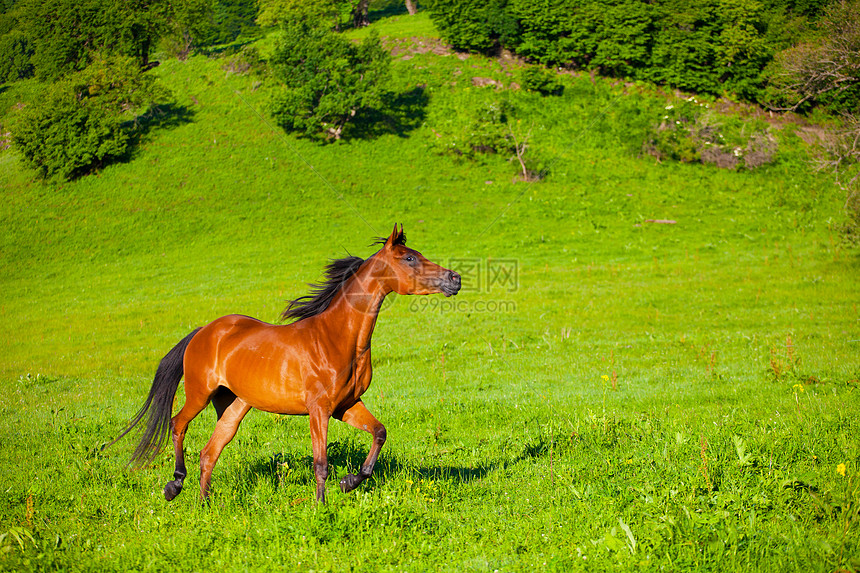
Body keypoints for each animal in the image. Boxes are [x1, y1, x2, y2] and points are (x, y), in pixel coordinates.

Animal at [115, 226, 464, 502]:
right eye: (409, 258)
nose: (455, 278)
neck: (337, 337)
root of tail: (204, 331)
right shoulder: (319, 409)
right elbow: (320, 463)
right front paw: (321, 507)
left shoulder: (347, 405)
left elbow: (379, 433)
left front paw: (349, 482)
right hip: (199, 393)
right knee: (178, 424)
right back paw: (173, 486)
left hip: (235, 405)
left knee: (209, 453)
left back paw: (205, 506)